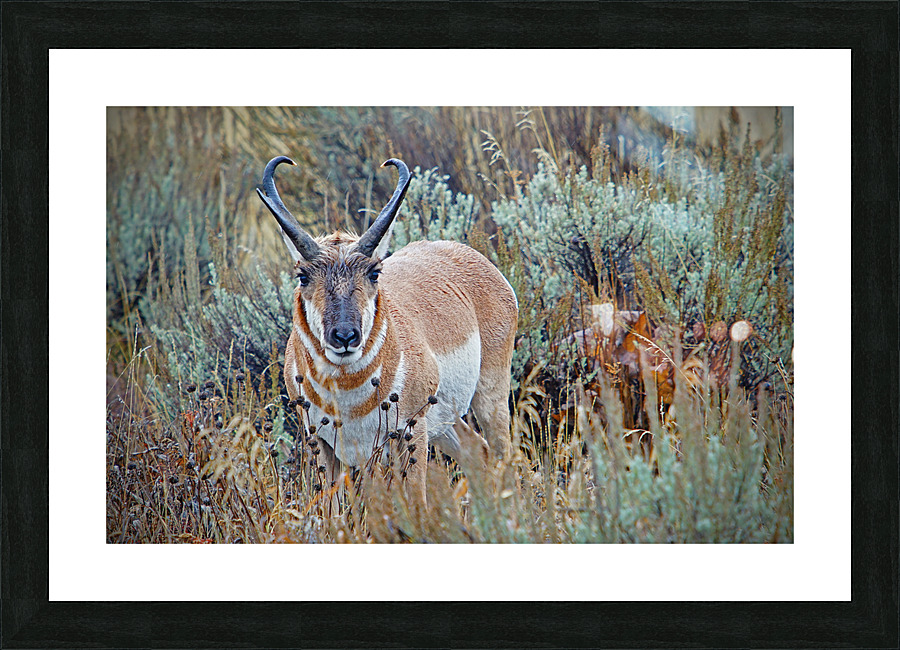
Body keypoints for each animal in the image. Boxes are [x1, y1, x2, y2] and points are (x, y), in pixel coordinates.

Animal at [256, 156, 518, 505]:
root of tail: (466, 253)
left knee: (505, 456)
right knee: (478, 452)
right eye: (303, 276)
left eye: (374, 272)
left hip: (489, 398)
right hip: (445, 424)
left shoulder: (411, 434)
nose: (344, 336)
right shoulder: (323, 446)